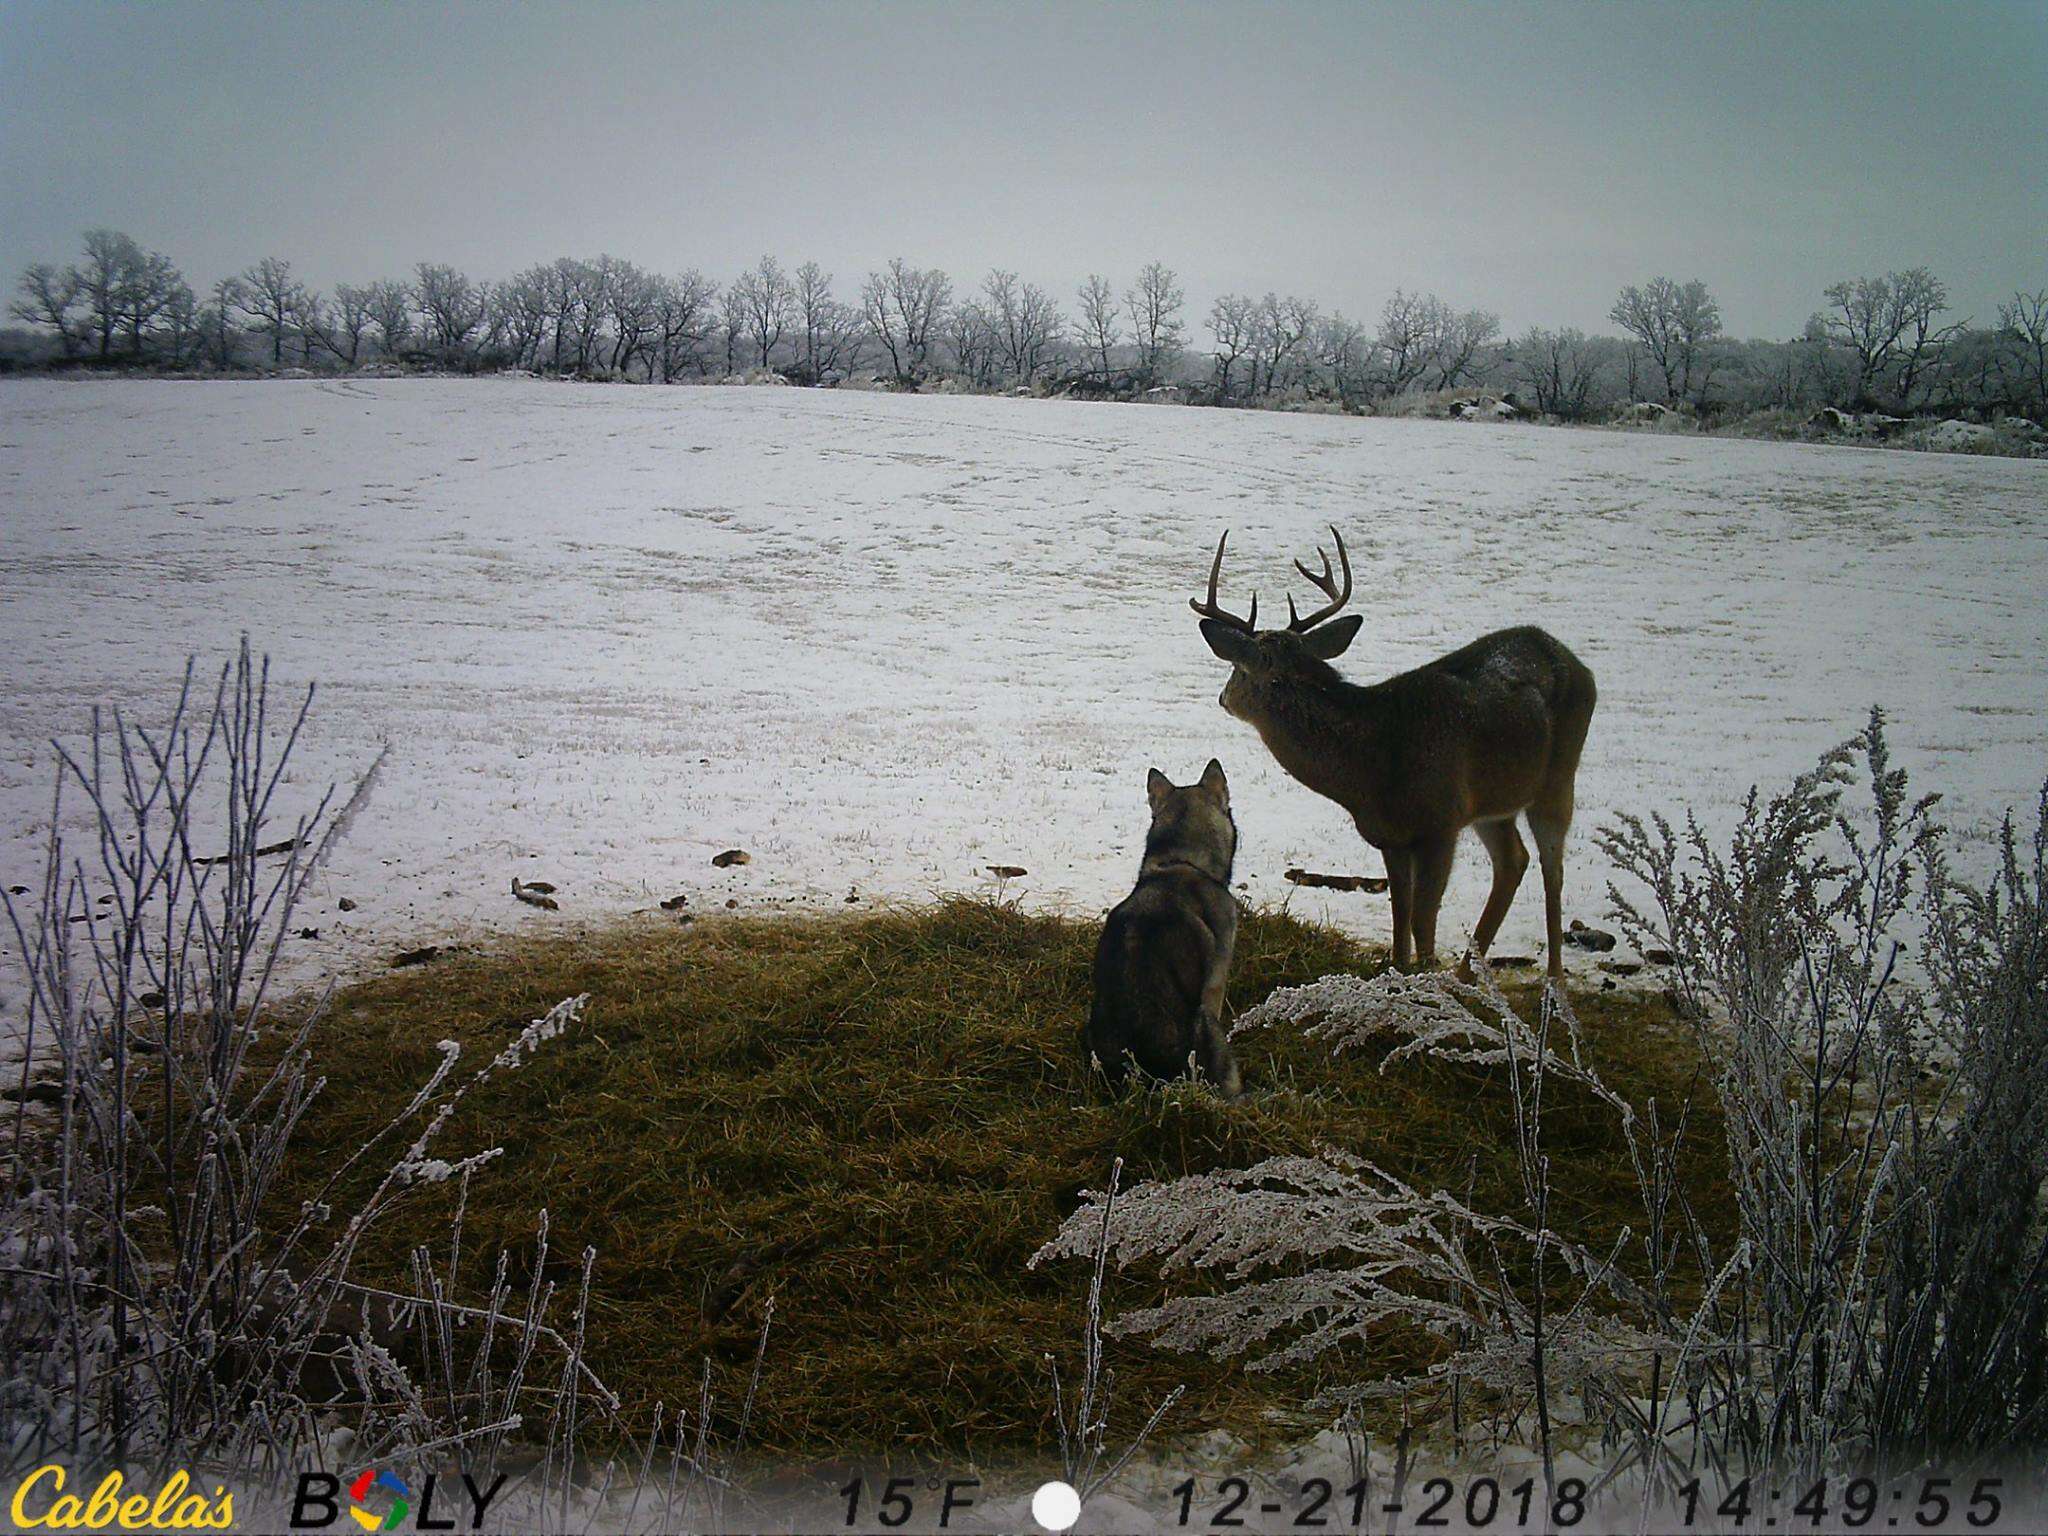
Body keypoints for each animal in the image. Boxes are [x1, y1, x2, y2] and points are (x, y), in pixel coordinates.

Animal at [1187, 528, 1597, 987]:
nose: (1223, 697)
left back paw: (1554, 977)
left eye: (1238, 670)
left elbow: (1422, 917)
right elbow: (1400, 913)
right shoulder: (1390, 835)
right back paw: (1465, 973)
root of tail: (1575, 660)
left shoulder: (1442, 823)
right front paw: (1401, 970)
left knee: (1551, 868)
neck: (1373, 765)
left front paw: (1427, 975)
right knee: (1513, 861)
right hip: (1495, 803)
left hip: (1559, 775)